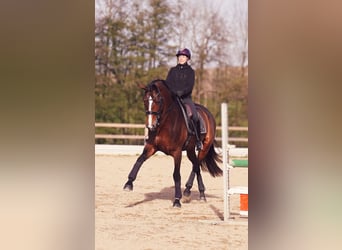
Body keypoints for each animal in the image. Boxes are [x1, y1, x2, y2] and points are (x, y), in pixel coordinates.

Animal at [123, 79, 222, 207]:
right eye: (145, 100)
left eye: (158, 100)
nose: (150, 125)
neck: (164, 122)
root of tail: (208, 113)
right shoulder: (151, 147)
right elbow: (139, 160)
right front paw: (128, 183)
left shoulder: (177, 152)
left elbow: (176, 175)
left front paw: (177, 200)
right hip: (190, 150)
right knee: (196, 166)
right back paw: (197, 193)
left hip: (204, 148)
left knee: (196, 165)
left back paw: (190, 192)